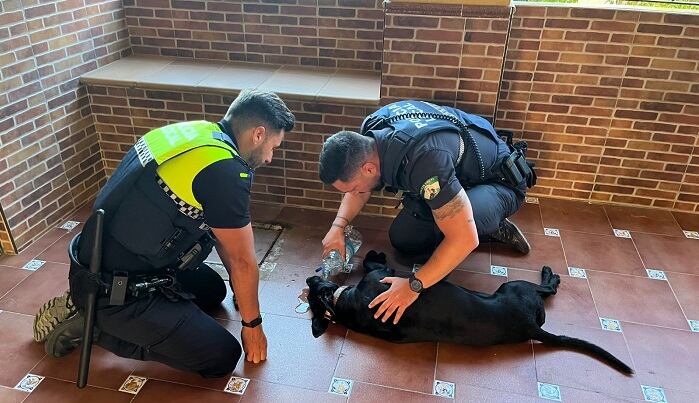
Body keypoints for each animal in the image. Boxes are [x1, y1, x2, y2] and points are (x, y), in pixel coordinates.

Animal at [306, 251, 636, 378]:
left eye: (312, 285)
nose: (311, 277)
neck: (342, 305)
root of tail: (531, 327)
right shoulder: (382, 275)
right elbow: (375, 265)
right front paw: (374, 255)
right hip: (514, 287)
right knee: (549, 289)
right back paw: (549, 275)